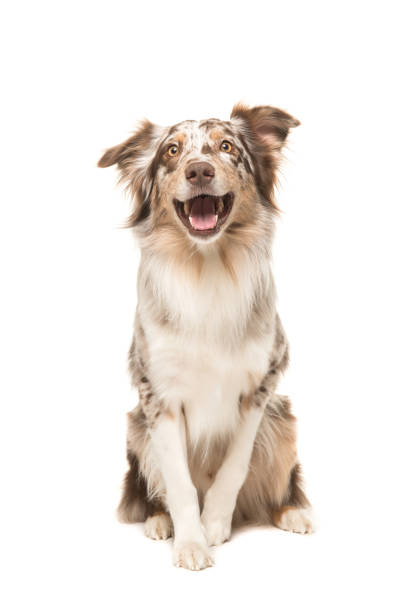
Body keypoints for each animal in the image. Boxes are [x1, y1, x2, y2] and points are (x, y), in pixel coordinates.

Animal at [97, 104, 314, 568]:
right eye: (172, 151)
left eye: (227, 146)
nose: (198, 170)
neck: (208, 265)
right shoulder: (158, 396)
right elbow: (179, 481)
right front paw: (191, 544)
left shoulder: (261, 385)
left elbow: (234, 466)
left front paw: (214, 524)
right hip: (135, 426)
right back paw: (159, 521)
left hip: (283, 419)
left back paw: (292, 513)